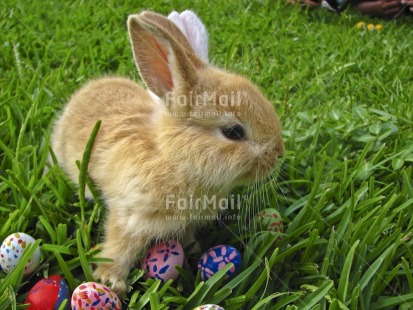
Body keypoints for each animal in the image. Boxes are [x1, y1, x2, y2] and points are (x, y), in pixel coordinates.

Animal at [50, 10, 284, 294]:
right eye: (233, 132)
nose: (279, 154)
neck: (172, 157)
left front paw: (194, 251)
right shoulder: (130, 215)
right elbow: (119, 247)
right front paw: (111, 281)